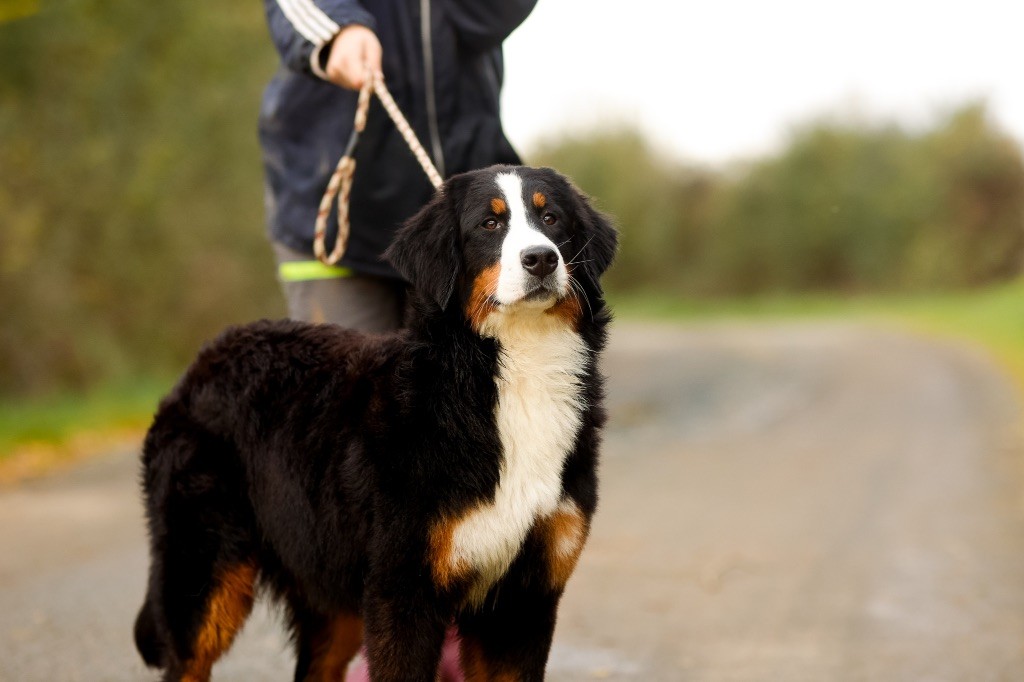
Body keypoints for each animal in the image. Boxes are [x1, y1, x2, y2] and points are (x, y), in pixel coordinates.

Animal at [134, 165, 614, 679]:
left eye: (552, 218)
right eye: (490, 224)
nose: (541, 259)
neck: (511, 373)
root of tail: (203, 361)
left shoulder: (523, 602)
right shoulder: (403, 591)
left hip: (326, 583)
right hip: (206, 574)